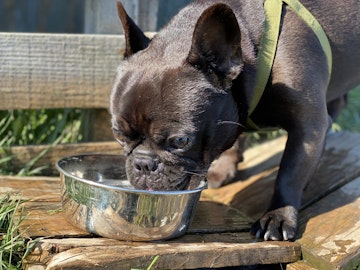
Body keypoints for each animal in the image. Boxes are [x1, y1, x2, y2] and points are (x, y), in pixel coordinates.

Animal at [110, 0, 360, 240]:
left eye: (180, 141)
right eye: (118, 135)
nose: (143, 163)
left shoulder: (308, 127)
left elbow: (289, 174)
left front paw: (278, 215)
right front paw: (223, 166)